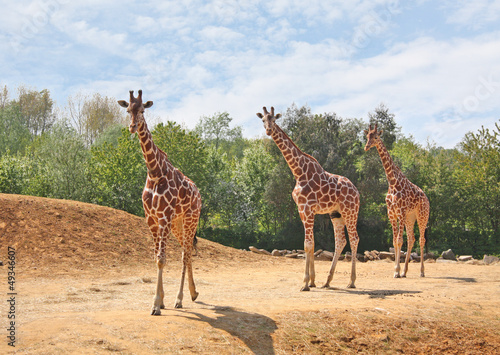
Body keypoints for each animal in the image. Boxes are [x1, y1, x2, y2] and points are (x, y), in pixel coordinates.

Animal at [117, 90, 201, 316]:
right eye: (128, 110)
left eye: (143, 110)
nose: (132, 127)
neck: (154, 172)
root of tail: (198, 193)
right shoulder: (151, 219)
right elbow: (156, 257)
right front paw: (160, 301)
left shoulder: (163, 217)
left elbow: (162, 259)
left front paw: (156, 304)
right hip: (177, 223)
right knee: (187, 252)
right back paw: (193, 293)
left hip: (190, 219)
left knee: (185, 254)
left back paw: (180, 299)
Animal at [258, 107, 360, 290]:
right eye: (263, 120)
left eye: (274, 120)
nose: (269, 130)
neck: (298, 172)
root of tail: (357, 191)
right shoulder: (303, 210)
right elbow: (310, 244)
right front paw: (312, 281)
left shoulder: (307, 208)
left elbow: (308, 244)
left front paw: (305, 283)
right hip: (336, 213)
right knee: (340, 241)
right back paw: (327, 281)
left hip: (350, 211)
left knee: (354, 239)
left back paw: (351, 281)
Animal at [364, 124, 430, 278]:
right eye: (367, 136)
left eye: (376, 137)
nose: (366, 146)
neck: (392, 182)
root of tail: (426, 198)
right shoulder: (392, 214)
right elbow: (395, 242)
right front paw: (397, 270)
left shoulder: (401, 212)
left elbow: (399, 241)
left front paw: (396, 271)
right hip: (410, 217)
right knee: (411, 239)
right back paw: (405, 271)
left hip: (422, 215)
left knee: (421, 240)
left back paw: (422, 272)